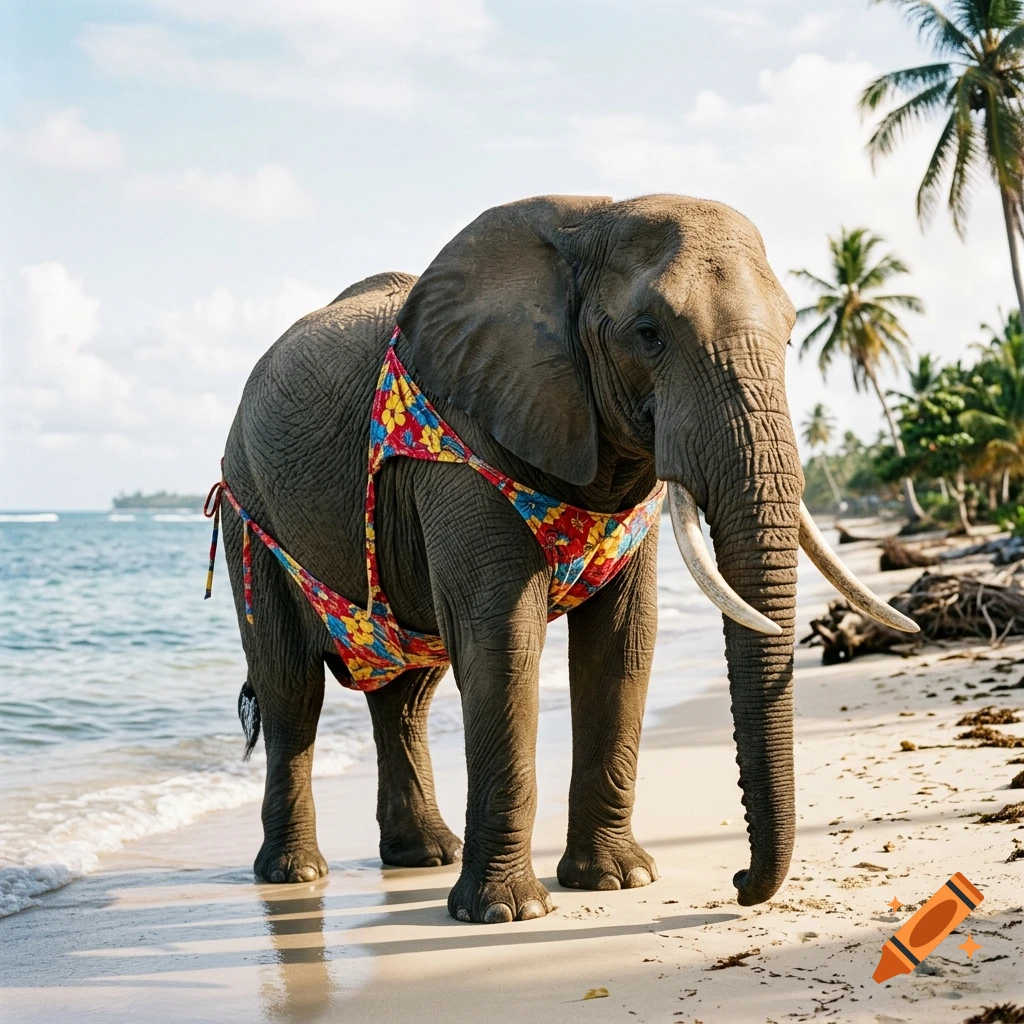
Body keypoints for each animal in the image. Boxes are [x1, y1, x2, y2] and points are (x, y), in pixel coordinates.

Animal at [213, 193, 916, 924]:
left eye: (790, 335)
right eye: (649, 334)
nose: (739, 883)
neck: (594, 218)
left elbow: (623, 640)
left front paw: (617, 881)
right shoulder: (463, 441)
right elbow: (502, 638)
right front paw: (505, 914)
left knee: (405, 694)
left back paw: (426, 857)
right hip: (248, 510)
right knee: (291, 686)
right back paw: (296, 873)